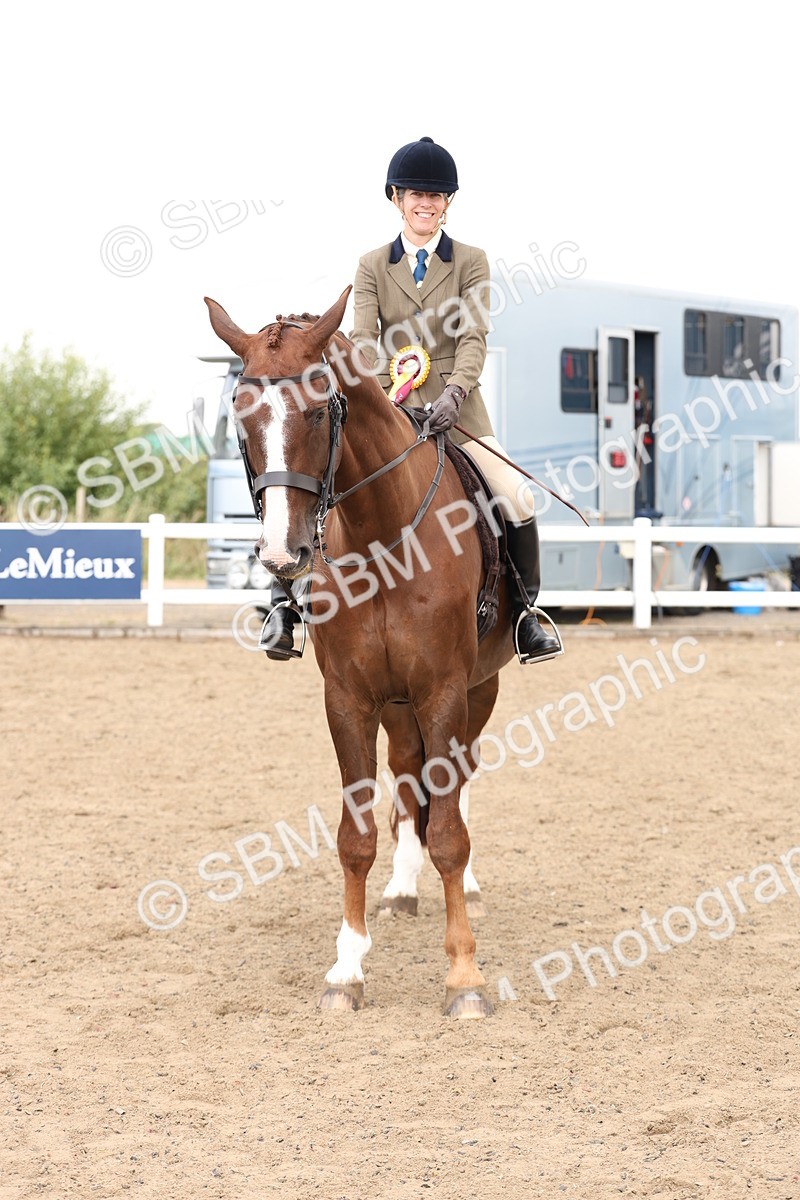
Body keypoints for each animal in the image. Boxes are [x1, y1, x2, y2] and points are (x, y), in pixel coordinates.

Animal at [205, 285, 516, 1019]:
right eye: (240, 415)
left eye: (321, 409)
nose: (282, 554)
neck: (384, 537)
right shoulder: (348, 698)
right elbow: (355, 837)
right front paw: (346, 969)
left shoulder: (444, 690)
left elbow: (449, 833)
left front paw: (464, 976)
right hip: (397, 706)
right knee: (408, 777)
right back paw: (402, 888)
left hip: (478, 689)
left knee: (458, 778)